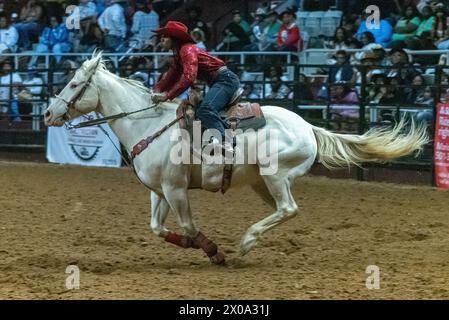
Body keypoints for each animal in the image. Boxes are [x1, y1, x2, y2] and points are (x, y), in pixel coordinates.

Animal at [44, 53, 428, 264]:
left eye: (74, 83)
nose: (48, 113)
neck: (148, 124)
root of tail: (308, 126)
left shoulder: (176, 189)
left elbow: (189, 226)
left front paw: (214, 251)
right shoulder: (159, 190)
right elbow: (157, 228)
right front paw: (191, 245)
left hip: (276, 175)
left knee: (288, 208)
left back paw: (246, 242)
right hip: (263, 182)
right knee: (284, 211)